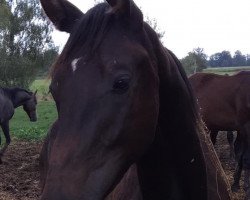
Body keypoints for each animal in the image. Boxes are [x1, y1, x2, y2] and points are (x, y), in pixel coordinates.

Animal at [189, 70, 250, 198]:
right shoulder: (247, 126)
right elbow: (247, 158)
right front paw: (247, 190)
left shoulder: (241, 130)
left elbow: (240, 156)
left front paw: (235, 184)